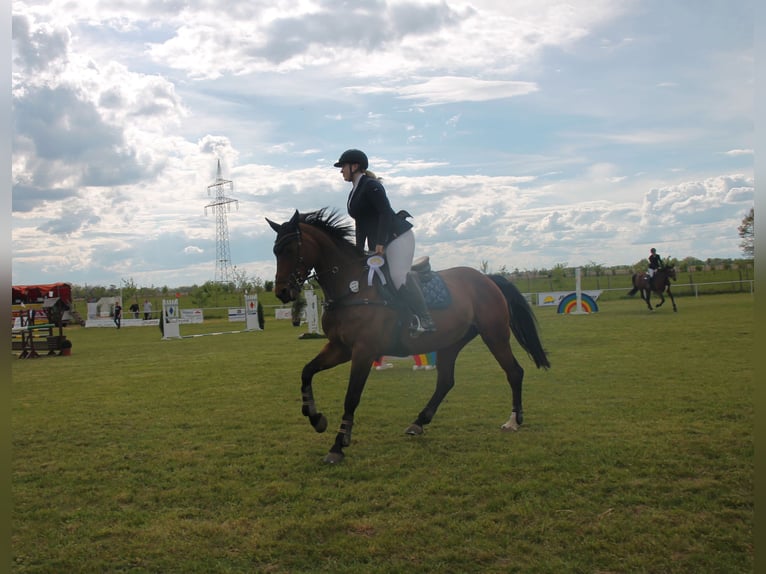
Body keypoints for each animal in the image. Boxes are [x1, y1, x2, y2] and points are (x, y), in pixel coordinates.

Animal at [268, 209, 548, 466]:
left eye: (290, 249)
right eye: (275, 251)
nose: (282, 292)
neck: (351, 287)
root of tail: (487, 279)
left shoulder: (363, 351)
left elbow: (351, 397)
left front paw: (338, 445)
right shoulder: (340, 347)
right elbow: (307, 372)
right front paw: (316, 419)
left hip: (495, 335)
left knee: (514, 372)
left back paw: (513, 421)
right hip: (451, 342)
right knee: (446, 381)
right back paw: (419, 422)